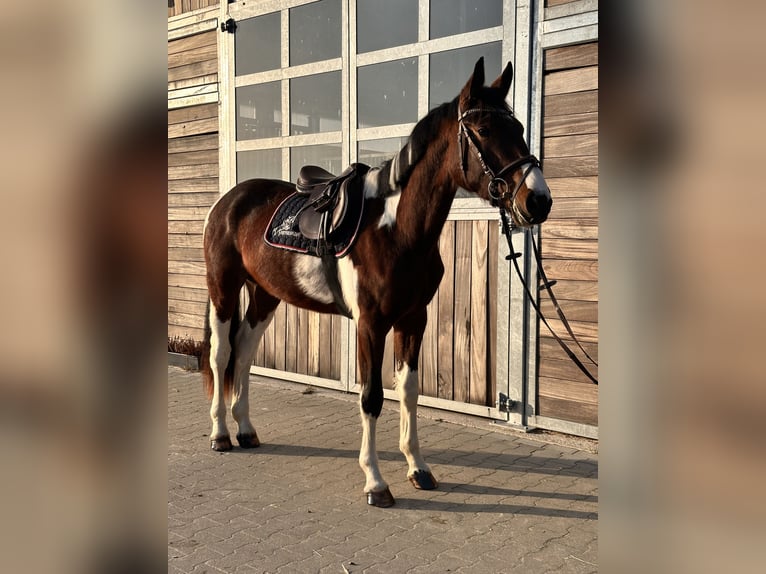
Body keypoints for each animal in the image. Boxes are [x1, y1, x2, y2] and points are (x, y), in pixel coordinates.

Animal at [201, 57, 552, 507]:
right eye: (485, 130)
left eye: (520, 128)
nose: (538, 200)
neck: (396, 230)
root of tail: (229, 200)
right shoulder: (370, 325)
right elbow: (371, 397)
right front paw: (376, 482)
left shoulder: (413, 319)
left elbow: (408, 390)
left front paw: (418, 469)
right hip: (223, 288)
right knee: (221, 354)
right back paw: (220, 434)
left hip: (265, 294)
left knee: (244, 351)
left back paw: (246, 430)